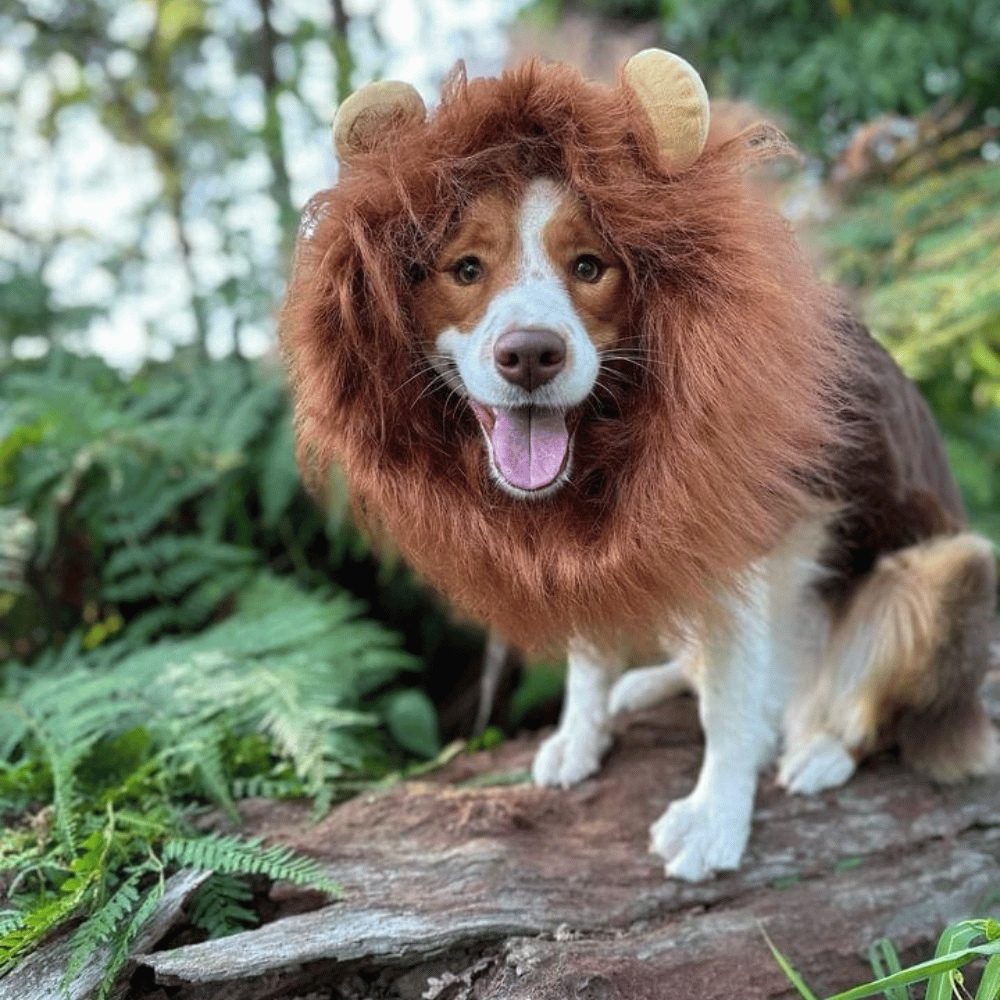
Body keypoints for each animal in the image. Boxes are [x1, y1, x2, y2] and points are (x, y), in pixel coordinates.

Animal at [284, 50, 1000, 880]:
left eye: (591, 266)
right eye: (464, 269)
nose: (530, 355)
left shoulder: (738, 538)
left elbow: (728, 704)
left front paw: (716, 817)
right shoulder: (596, 541)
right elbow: (591, 652)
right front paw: (582, 733)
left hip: (950, 566)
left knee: (866, 709)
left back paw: (821, 747)